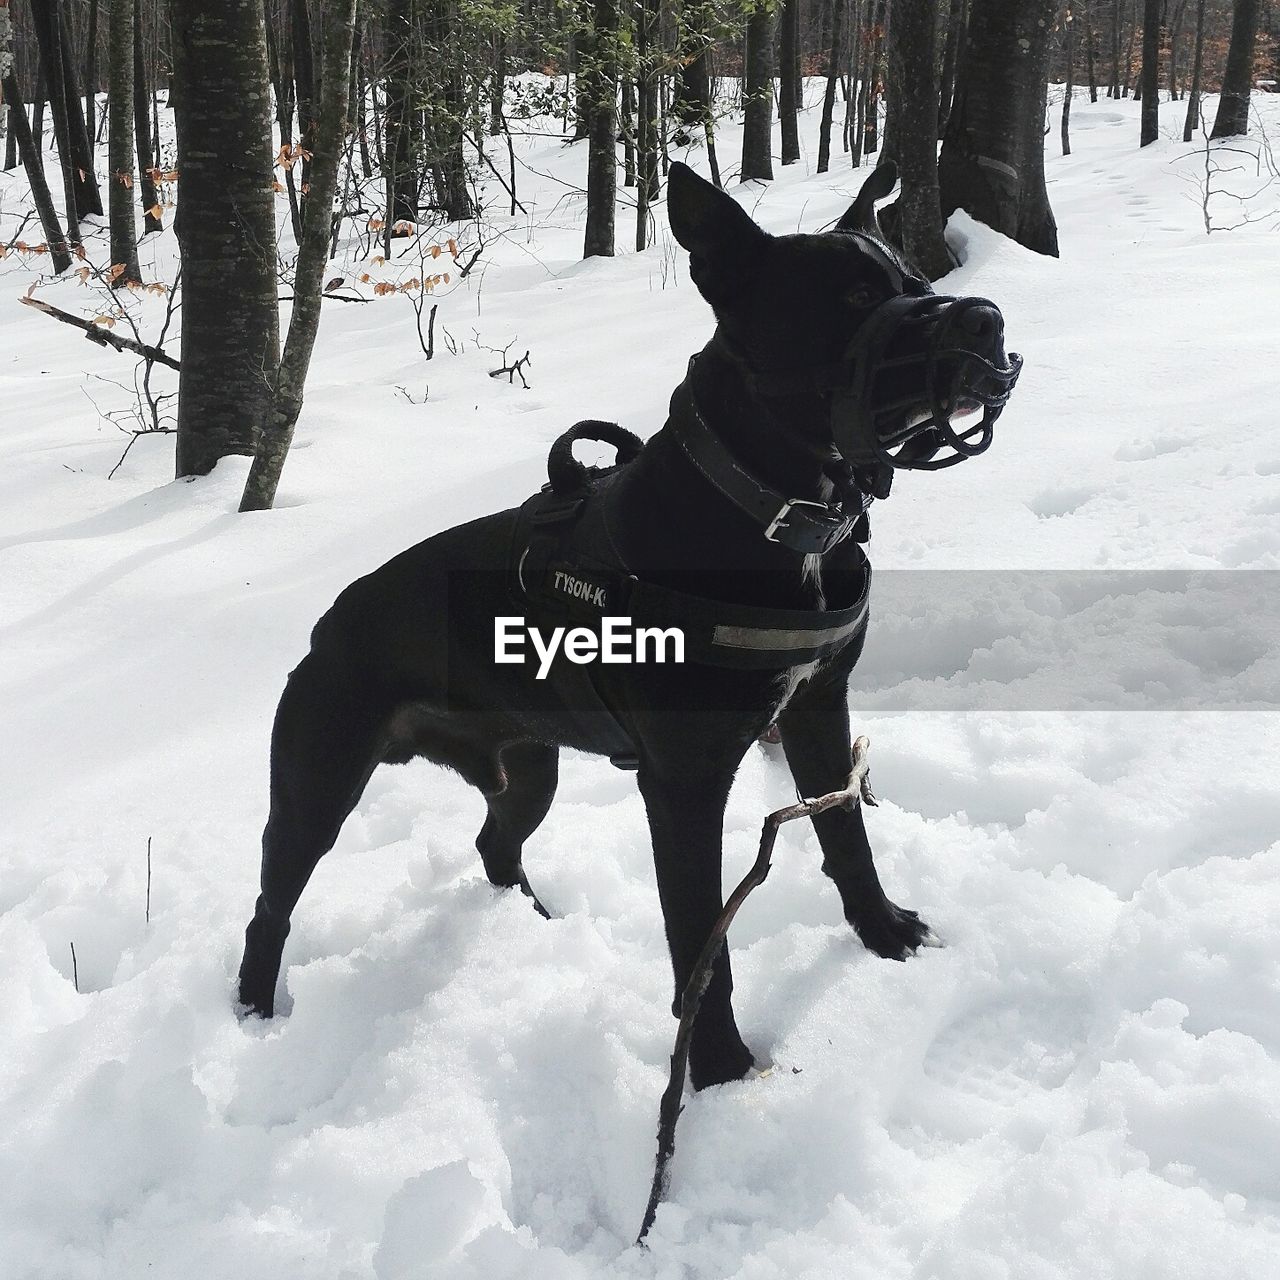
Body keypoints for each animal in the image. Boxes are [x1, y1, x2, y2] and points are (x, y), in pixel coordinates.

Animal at [240, 162, 1018, 1090]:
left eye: (919, 284)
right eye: (855, 296)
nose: (987, 318)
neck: (772, 510)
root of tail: (326, 624)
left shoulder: (817, 707)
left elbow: (845, 833)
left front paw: (883, 930)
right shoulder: (684, 782)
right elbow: (701, 940)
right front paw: (716, 1069)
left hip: (528, 771)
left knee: (495, 845)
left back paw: (532, 925)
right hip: (317, 784)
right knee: (271, 904)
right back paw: (251, 1012)